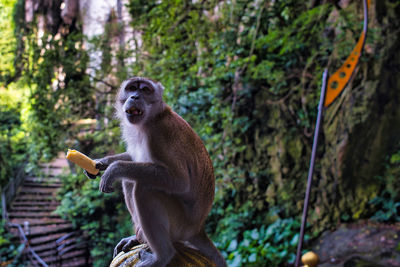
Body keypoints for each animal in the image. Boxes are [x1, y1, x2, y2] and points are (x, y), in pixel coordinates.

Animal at [84, 77, 227, 267]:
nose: (135, 96)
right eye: (131, 88)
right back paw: (138, 238)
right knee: (131, 180)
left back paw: (162, 256)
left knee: (145, 188)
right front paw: (102, 162)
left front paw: (114, 169)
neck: (151, 119)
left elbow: (180, 181)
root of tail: (197, 228)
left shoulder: (159, 136)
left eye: (145, 90)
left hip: (179, 225)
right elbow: (133, 158)